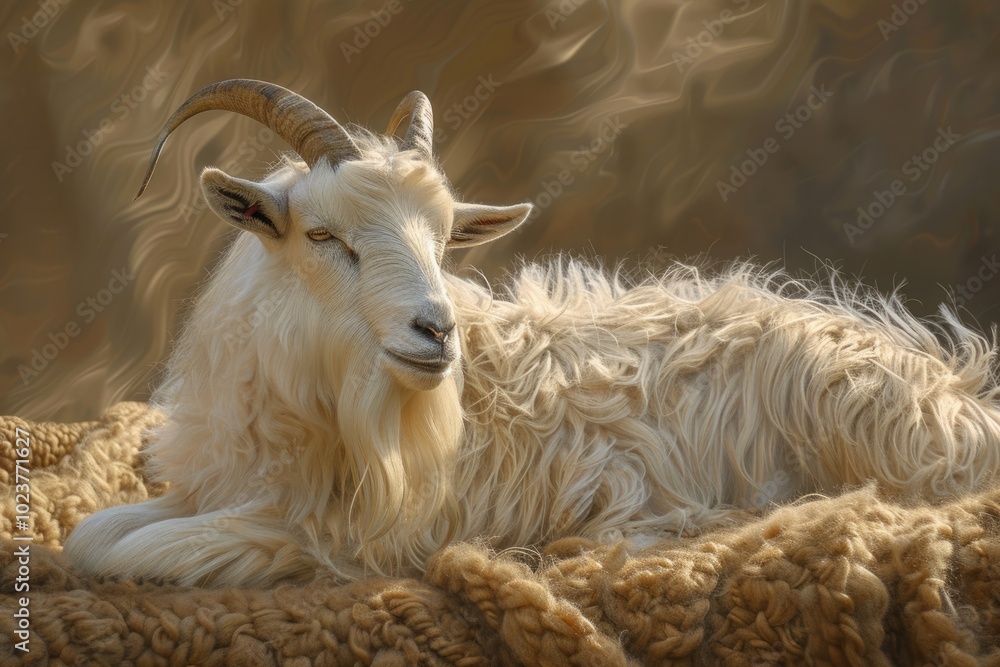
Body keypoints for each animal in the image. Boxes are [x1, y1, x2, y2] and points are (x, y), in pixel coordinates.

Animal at [64, 80, 1000, 587]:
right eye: (325, 235)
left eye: (445, 239)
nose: (436, 330)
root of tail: (958, 392)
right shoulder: (225, 485)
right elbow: (92, 534)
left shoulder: (339, 532)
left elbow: (130, 549)